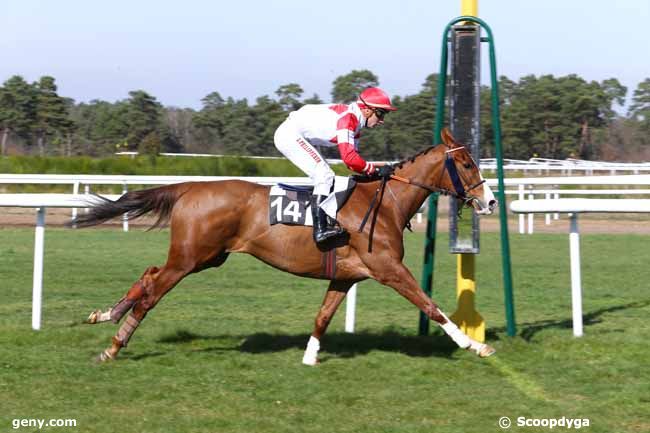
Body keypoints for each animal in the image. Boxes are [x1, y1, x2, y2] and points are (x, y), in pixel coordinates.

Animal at [78, 126, 498, 362]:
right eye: (466, 165)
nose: (491, 201)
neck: (385, 203)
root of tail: (189, 188)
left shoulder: (347, 275)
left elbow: (323, 316)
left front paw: (310, 357)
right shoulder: (388, 269)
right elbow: (431, 306)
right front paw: (474, 345)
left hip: (207, 257)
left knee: (150, 275)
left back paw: (106, 315)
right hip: (189, 258)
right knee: (153, 292)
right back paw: (114, 345)